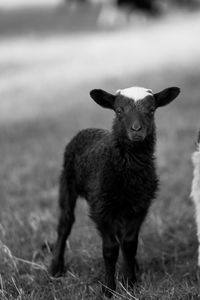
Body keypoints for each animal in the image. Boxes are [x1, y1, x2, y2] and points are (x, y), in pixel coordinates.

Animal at [49, 85, 180, 296]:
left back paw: (134, 267)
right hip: (67, 182)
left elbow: (130, 244)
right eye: (119, 111)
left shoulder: (140, 206)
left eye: (151, 110)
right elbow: (110, 249)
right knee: (65, 223)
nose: (136, 130)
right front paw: (108, 289)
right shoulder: (101, 208)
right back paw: (56, 268)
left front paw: (130, 282)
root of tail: (87, 129)